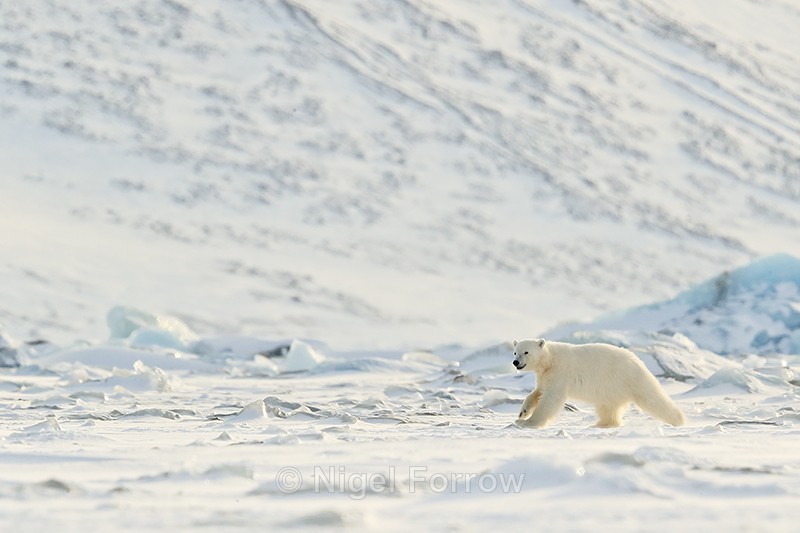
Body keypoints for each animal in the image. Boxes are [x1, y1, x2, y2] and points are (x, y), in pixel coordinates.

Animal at [512, 339, 685, 428]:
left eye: (526, 352)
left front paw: (528, 422)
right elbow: (538, 392)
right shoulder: (545, 375)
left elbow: (550, 399)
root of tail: (638, 361)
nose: (515, 362)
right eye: (515, 352)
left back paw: (679, 420)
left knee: (652, 398)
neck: (550, 359)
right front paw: (522, 413)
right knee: (608, 406)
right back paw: (602, 424)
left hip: (627, 378)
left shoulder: (560, 372)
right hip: (611, 387)